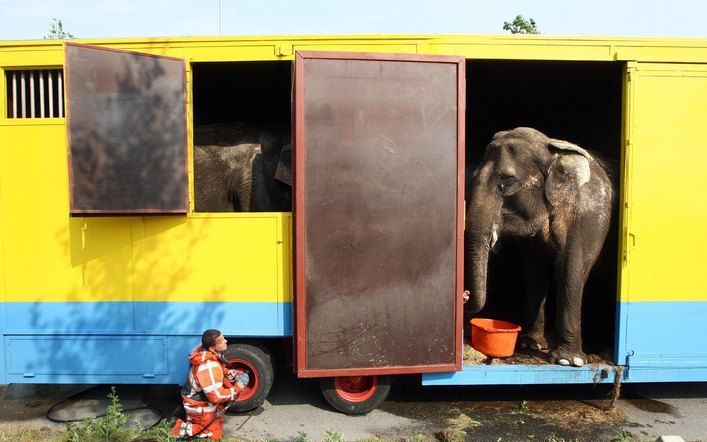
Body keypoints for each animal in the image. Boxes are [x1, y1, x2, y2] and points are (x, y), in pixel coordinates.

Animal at [464, 127, 612, 366]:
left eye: (508, 181)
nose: (465, 295)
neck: (552, 150)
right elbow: (535, 269)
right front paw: (530, 344)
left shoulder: (586, 215)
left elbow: (569, 266)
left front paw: (569, 361)